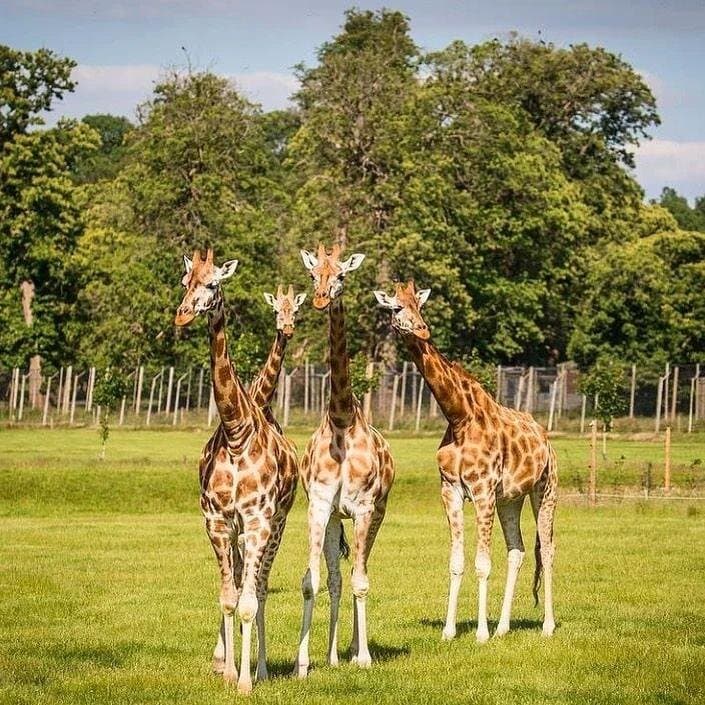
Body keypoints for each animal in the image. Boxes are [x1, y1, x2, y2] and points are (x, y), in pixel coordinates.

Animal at [175, 249, 298, 694]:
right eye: (185, 282)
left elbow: (248, 601)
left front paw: (245, 680)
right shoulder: (216, 520)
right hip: (241, 532)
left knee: (259, 587)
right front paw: (226, 670)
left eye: (213, 283)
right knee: (246, 582)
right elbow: (228, 597)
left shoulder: (258, 521)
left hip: (276, 525)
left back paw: (260, 669)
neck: (236, 432)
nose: (182, 315)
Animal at [374, 280, 557, 643]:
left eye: (420, 305)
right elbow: (457, 562)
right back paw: (503, 627)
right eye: (396, 307)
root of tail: (546, 439)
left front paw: (481, 634)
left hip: (545, 490)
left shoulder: (483, 490)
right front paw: (450, 630)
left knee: (548, 549)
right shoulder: (451, 491)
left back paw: (547, 626)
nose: (423, 329)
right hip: (510, 499)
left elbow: (482, 563)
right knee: (517, 550)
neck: (459, 417)